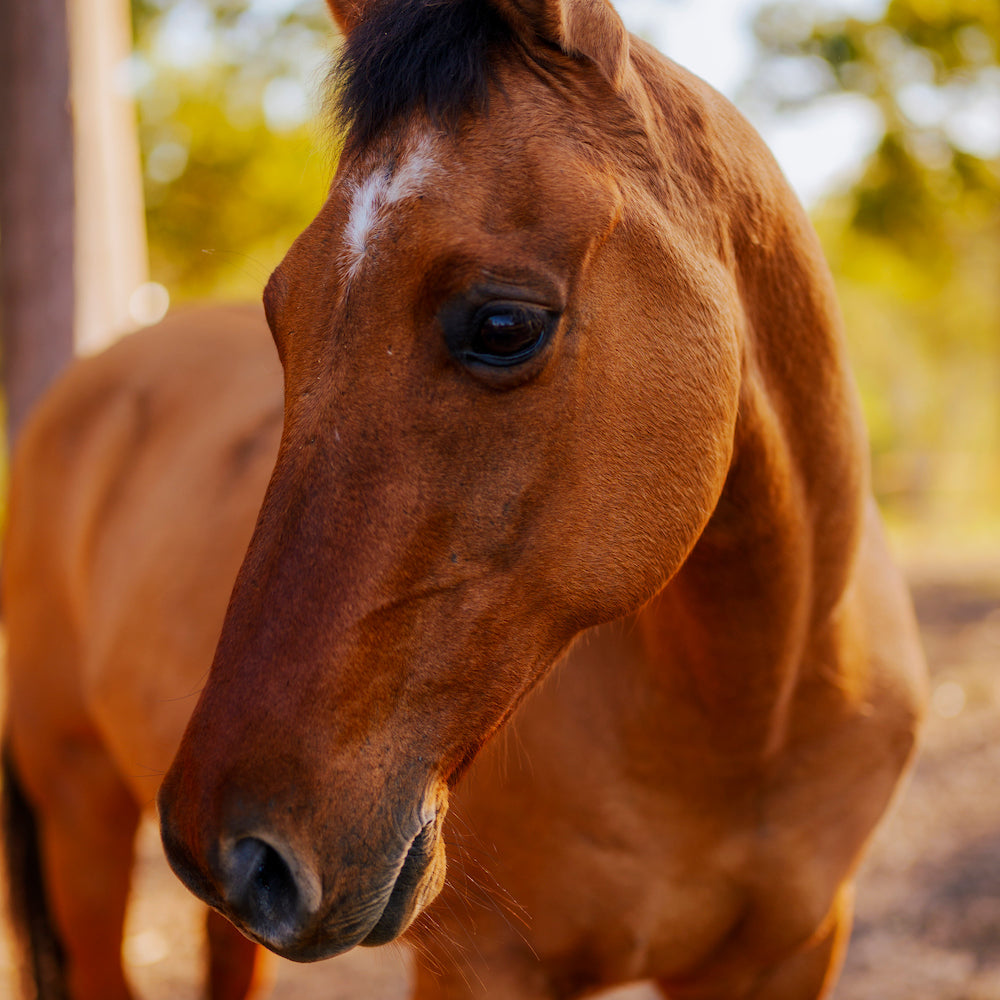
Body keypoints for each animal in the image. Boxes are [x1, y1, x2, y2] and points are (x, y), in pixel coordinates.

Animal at [2, 0, 927, 998]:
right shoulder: (486, 965)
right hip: (81, 815)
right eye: (281, 316)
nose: (238, 847)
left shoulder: (794, 950)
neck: (742, 723)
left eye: (504, 325)